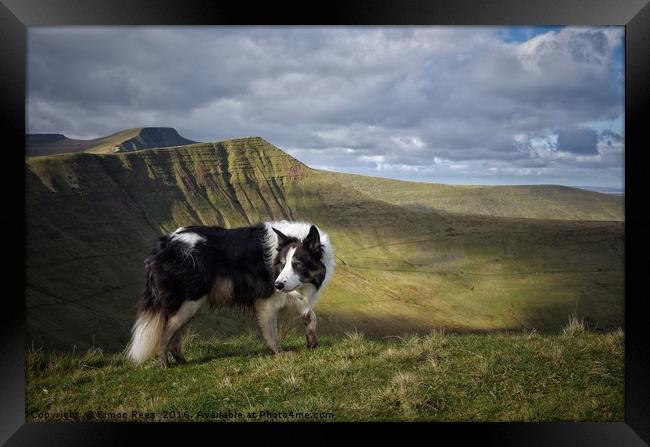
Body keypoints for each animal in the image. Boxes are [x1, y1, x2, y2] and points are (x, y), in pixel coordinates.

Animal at [126, 219, 332, 370]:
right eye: (282, 264)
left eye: (297, 264)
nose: (277, 284)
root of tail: (166, 242)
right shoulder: (267, 302)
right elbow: (272, 332)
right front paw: (280, 353)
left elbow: (311, 316)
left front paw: (311, 341)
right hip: (190, 299)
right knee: (167, 329)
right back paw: (164, 363)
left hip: (191, 304)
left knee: (175, 331)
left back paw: (180, 360)